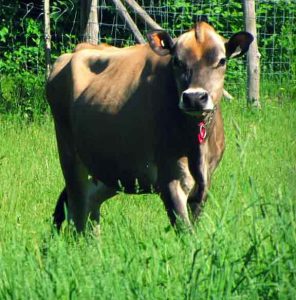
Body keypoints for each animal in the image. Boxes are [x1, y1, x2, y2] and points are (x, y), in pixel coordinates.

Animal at [47, 22, 253, 231]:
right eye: (176, 61)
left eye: (222, 61)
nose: (194, 98)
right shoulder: (170, 179)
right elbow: (185, 230)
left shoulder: (205, 182)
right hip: (70, 159)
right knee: (78, 213)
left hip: (111, 171)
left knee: (88, 206)